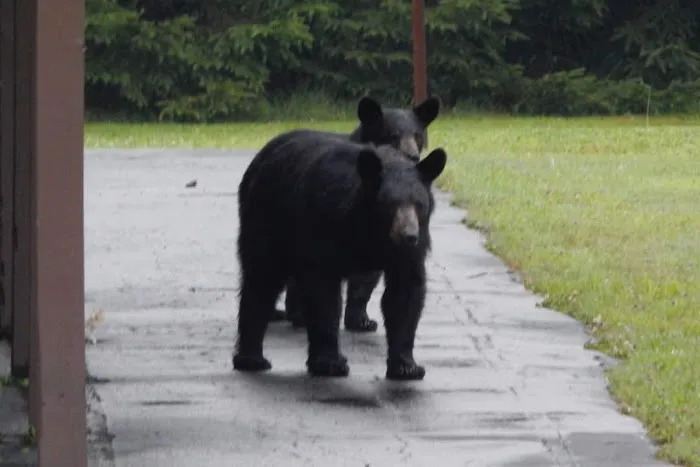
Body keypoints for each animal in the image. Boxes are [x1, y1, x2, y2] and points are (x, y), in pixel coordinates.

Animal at [233, 137, 447, 380]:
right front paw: (330, 363)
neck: (368, 227)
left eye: (419, 204)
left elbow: (404, 294)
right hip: (267, 219)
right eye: (390, 204)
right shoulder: (322, 224)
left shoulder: (409, 249)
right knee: (261, 279)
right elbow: (323, 292)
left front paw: (406, 366)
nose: (408, 236)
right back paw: (252, 358)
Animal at [266, 95, 441, 333]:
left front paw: (361, 320)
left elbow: (365, 278)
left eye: (418, 135)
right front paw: (302, 314)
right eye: (393, 134)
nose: (413, 157)